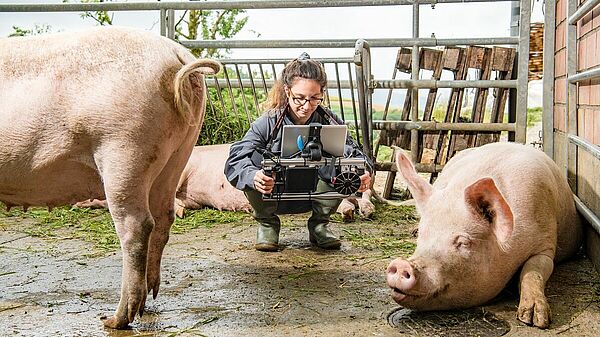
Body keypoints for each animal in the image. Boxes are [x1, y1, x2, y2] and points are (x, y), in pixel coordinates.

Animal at [0, 26, 220, 328]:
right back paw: (148, 302)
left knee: (137, 225)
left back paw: (114, 319)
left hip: (124, 150)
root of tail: (178, 54)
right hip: (178, 152)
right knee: (163, 218)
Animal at [386, 142, 584, 328]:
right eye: (422, 233)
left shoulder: (546, 242)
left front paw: (535, 319)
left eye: (463, 242)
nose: (402, 264)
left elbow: (532, 271)